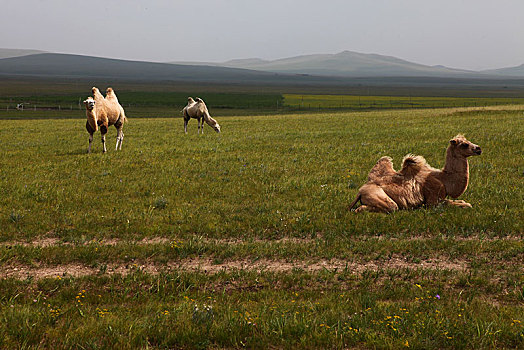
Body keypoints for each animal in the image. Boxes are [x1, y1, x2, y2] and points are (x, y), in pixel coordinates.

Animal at [348, 135, 484, 213]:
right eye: (465, 144)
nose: (479, 148)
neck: (444, 179)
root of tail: (360, 192)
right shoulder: (432, 200)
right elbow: (464, 205)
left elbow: (462, 202)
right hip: (381, 198)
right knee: (389, 207)